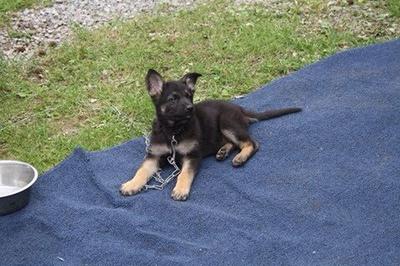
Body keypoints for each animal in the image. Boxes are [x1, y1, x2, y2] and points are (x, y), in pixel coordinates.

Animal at [120, 69, 302, 201]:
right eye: (173, 99)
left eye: (189, 96)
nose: (190, 108)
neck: (173, 131)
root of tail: (240, 109)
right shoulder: (154, 155)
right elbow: (142, 171)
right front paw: (131, 185)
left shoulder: (192, 156)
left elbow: (185, 173)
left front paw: (180, 190)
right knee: (233, 142)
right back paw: (223, 151)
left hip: (227, 122)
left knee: (252, 143)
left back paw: (240, 157)